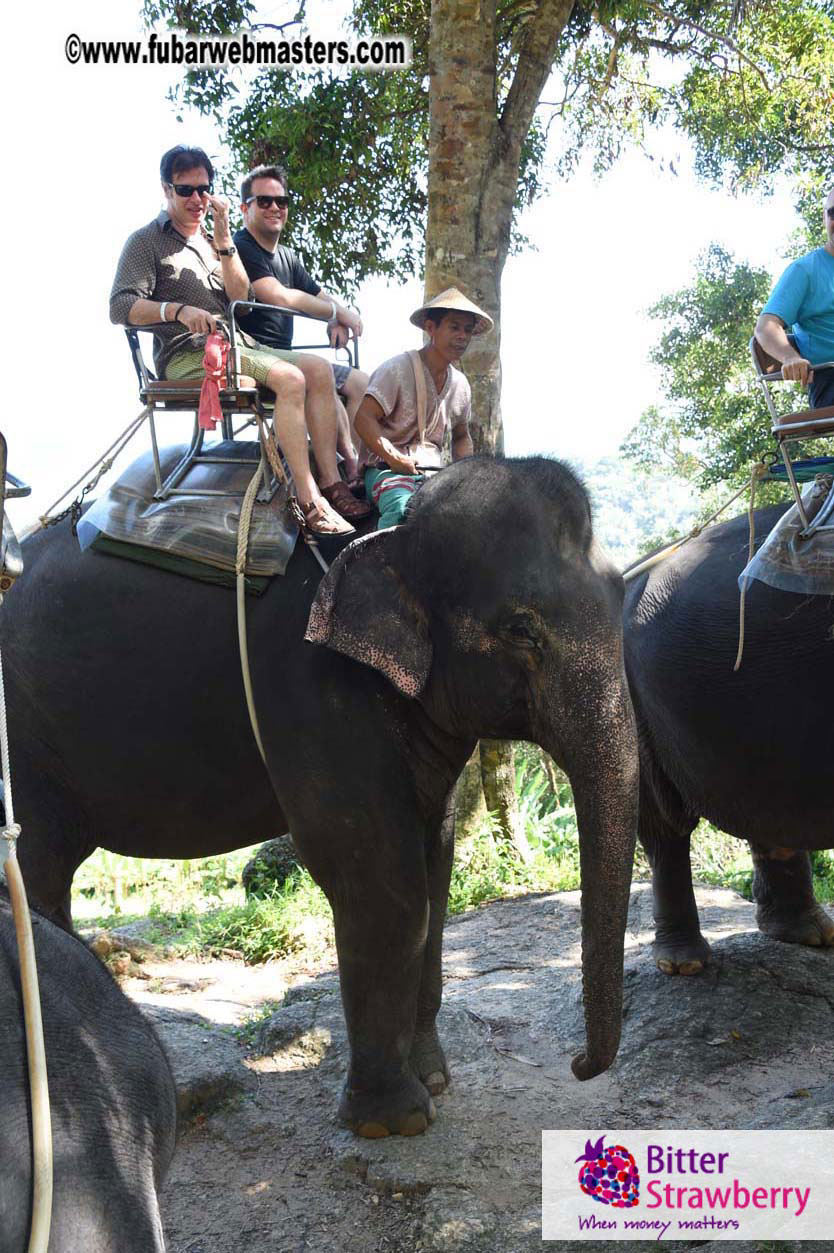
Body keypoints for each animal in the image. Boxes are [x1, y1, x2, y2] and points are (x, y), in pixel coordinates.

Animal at [1, 454, 639, 1136]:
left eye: (622, 594)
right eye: (522, 629)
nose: (578, 1064)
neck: (393, 528)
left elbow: (435, 869)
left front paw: (434, 1082)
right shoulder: (311, 686)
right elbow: (382, 880)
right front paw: (394, 1121)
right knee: (36, 870)